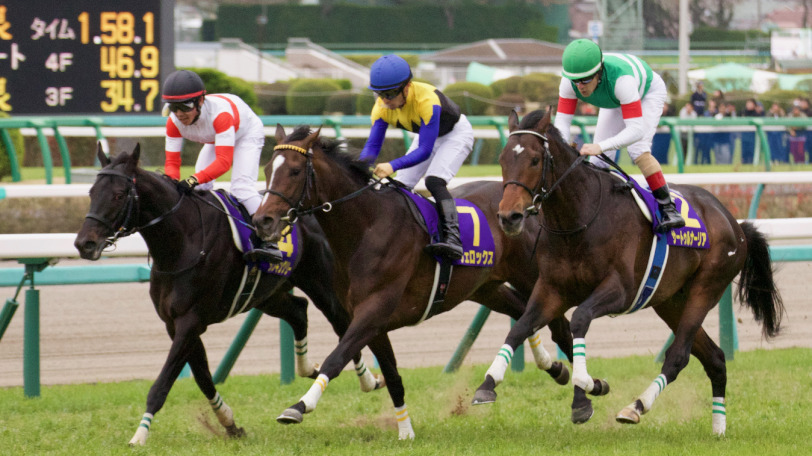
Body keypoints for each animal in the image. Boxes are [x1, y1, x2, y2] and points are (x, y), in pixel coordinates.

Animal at [73, 144, 384, 446]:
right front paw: (230, 423)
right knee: (299, 310)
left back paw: (368, 380)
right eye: (91, 192)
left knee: (342, 324)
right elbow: (202, 378)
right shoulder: (175, 324)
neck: (183, 241)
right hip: (267, 294)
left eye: (118, 195)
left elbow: (163, 383)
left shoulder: (191, 321)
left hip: (321, 283)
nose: (84, 243)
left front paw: (139, 436)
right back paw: (309, 366)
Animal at [251, 124, 576, 440]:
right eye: (266, 168)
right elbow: (392, 376)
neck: (368, 227)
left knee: (559, 326)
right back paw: (553, 366)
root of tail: (527, 205)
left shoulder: (374, 311)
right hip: (484, 288)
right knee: (522, 313)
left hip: (535, 277)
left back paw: (582, 383)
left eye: (294, 171)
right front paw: (405, 432)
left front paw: (299, 406)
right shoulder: (372, 321)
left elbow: (336, 357)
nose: (262, 220)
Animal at [473, 109, 784, 435]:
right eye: (503, 159)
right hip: (670, 301)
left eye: (534, 160)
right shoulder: (552, 290)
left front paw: (583, 393)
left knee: (679, 355)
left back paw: (636, 407)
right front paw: (488, 383)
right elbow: (521, 326)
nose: (509, 217)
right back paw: (718, 428)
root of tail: (734, 223)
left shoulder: (620, 291)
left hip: (707, 288)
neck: (579, 221)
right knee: (714, 357)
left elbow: (580, 319)